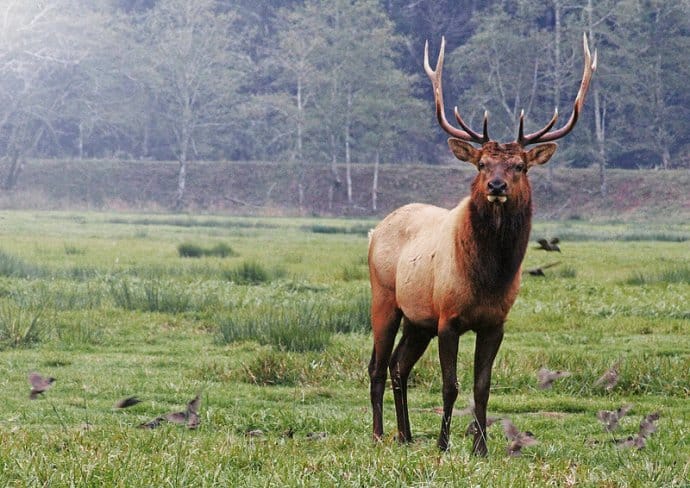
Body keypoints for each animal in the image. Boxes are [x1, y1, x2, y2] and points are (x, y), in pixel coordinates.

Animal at [368, 34, 592, 454]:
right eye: (482, 164)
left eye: (519, 165)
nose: (496, 185)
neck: (487, 278)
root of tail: (374, 231)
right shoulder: (448, 318)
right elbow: (450, 385)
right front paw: (443, 445)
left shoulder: (495, 323)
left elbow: (482, 387)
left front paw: (482, 448)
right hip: (385, 298)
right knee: (376, 366)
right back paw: (378, 434)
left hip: (418, 318)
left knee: (398, 365)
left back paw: (406, 435)